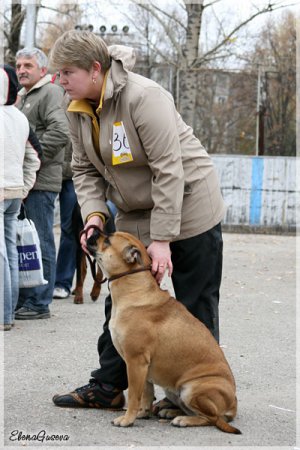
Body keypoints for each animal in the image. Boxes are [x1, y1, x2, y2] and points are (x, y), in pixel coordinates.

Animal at [86, 230, 241, 434]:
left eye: (108, 240)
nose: (94, 231)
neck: (134, 290)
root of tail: (233, 406)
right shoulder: (141, 368)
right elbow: (145, 393)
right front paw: (142, 413)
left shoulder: (135, 362)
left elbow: (134, 394)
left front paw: (128, 419)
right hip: (175, 390)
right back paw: (172, 412)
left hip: (192, 389)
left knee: (211, 418)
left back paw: (183, 420)